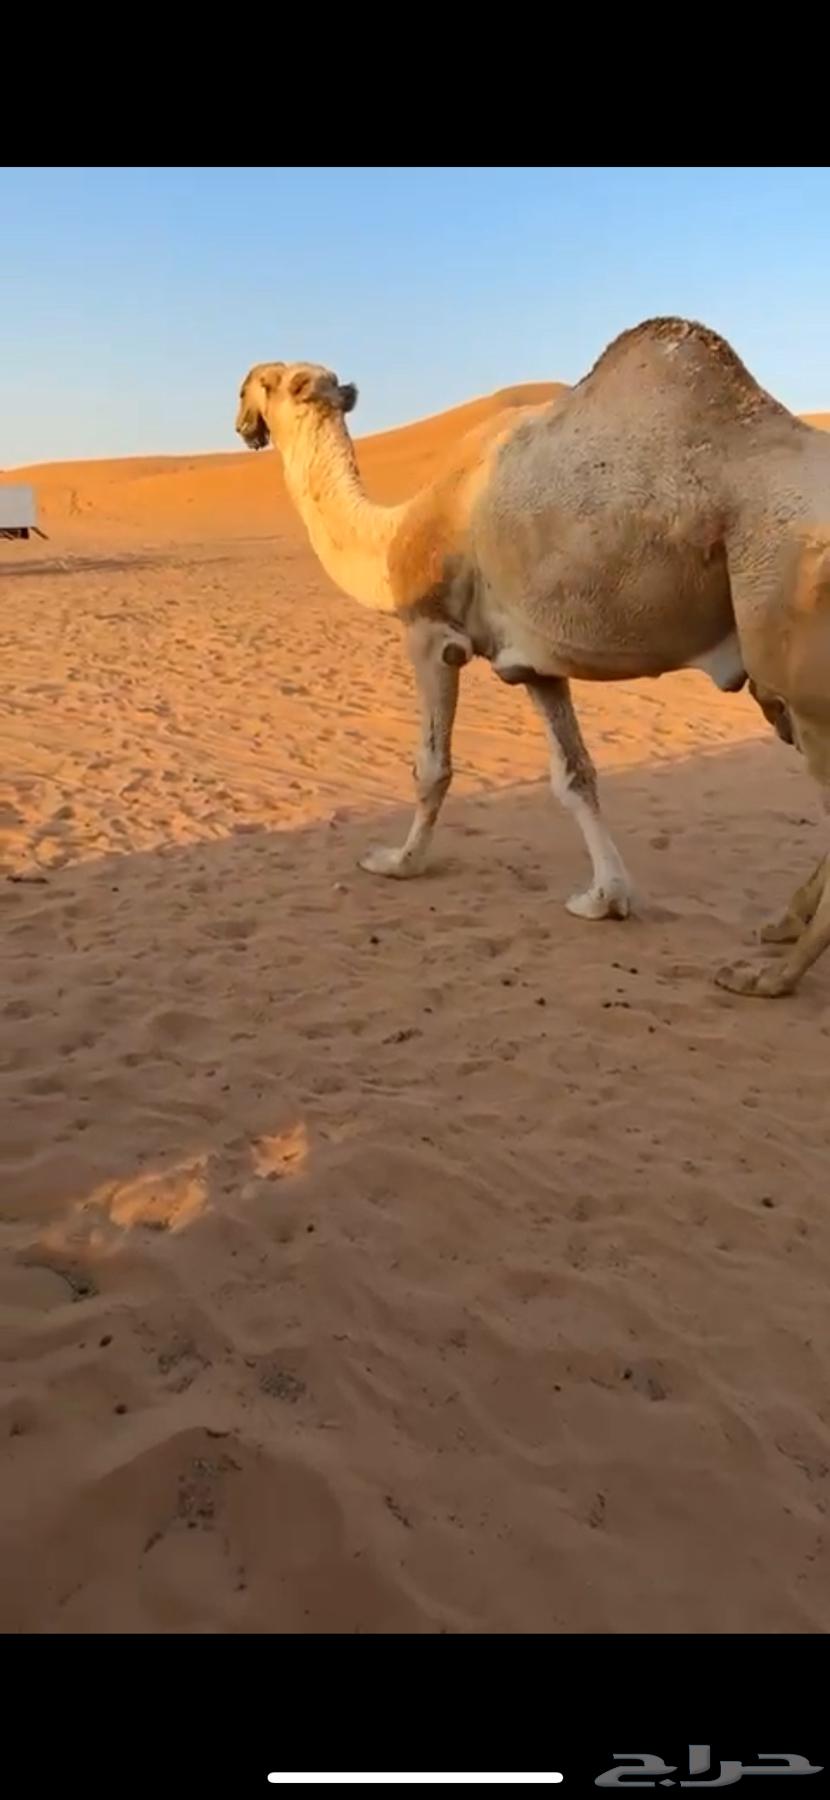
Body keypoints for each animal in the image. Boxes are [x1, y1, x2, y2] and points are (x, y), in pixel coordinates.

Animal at [236, 317, 830, 998]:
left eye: (266, 382)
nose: (242, 420)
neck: (396, 533)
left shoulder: (432, 633)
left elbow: (431, 768)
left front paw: (396, 862)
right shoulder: (535, 663)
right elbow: (575, 775)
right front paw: (605, 898)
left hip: (794, 648)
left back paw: (769, 977)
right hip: (775, 680)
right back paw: (779, 924)